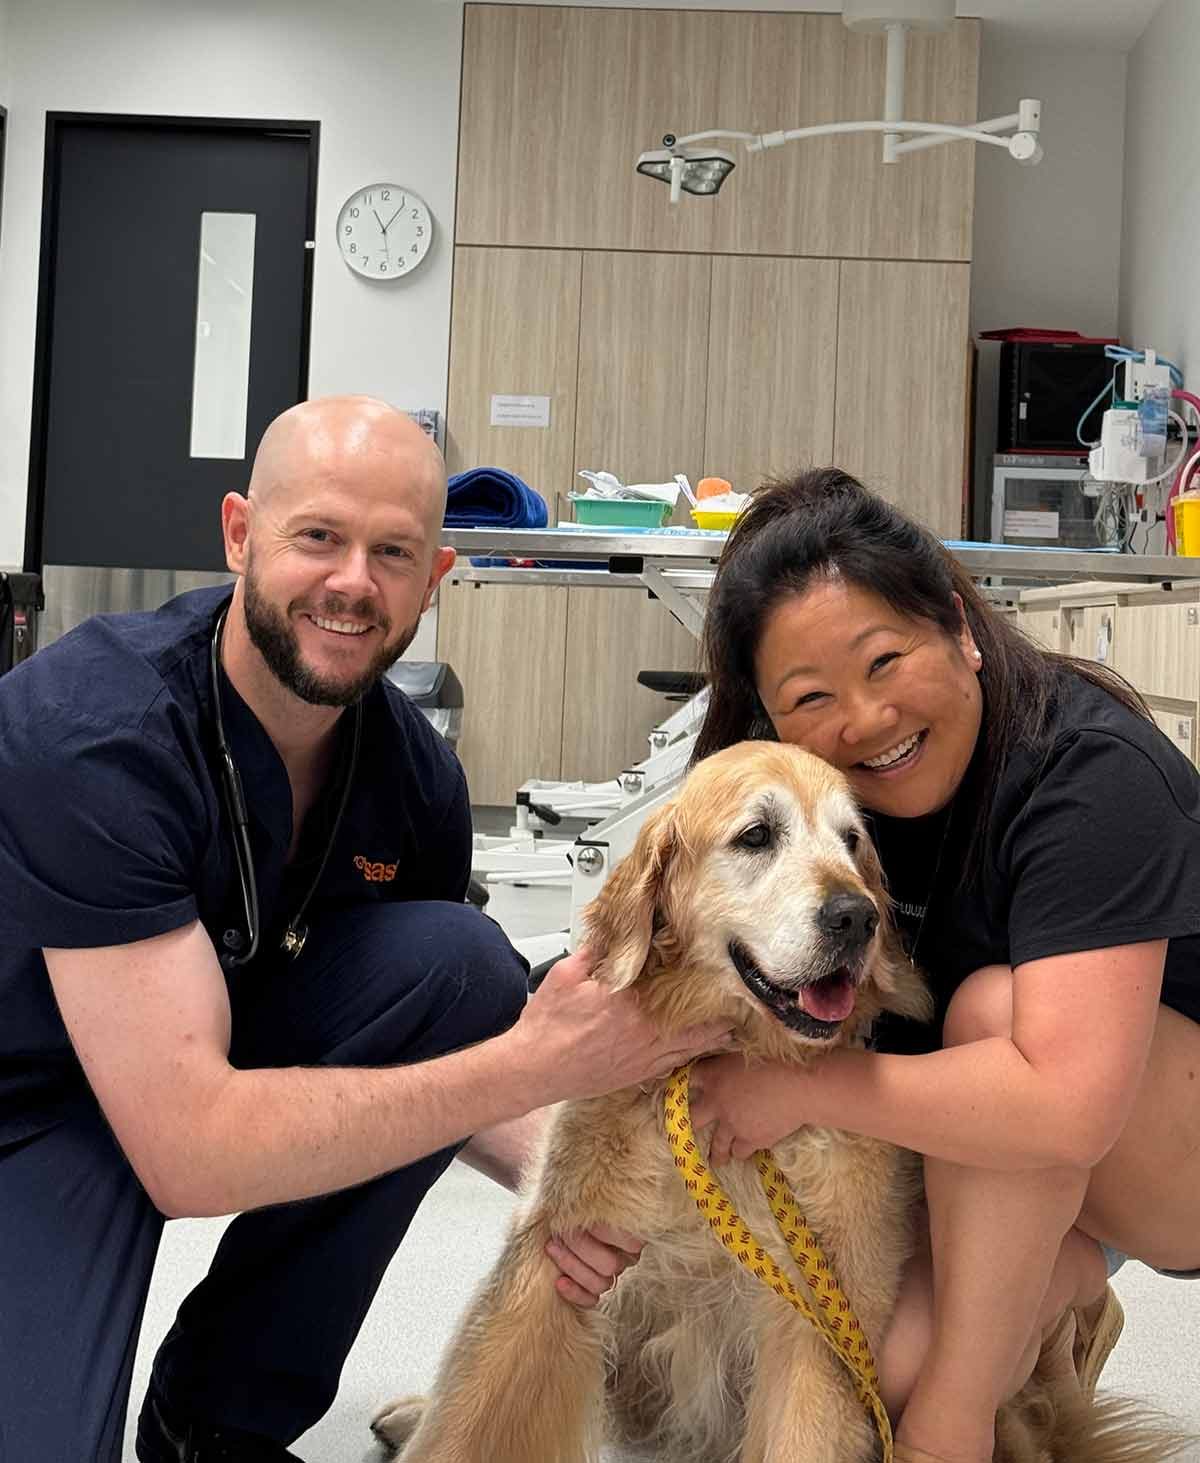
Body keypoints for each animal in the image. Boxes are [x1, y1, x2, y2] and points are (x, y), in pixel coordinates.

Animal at [371, 741, 1186, 1463]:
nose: (856, 917)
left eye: (852, 840)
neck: (724, 1072)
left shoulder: (819, 1322)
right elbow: (467, 1418)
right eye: (757, 836)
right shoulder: (552, 1262)